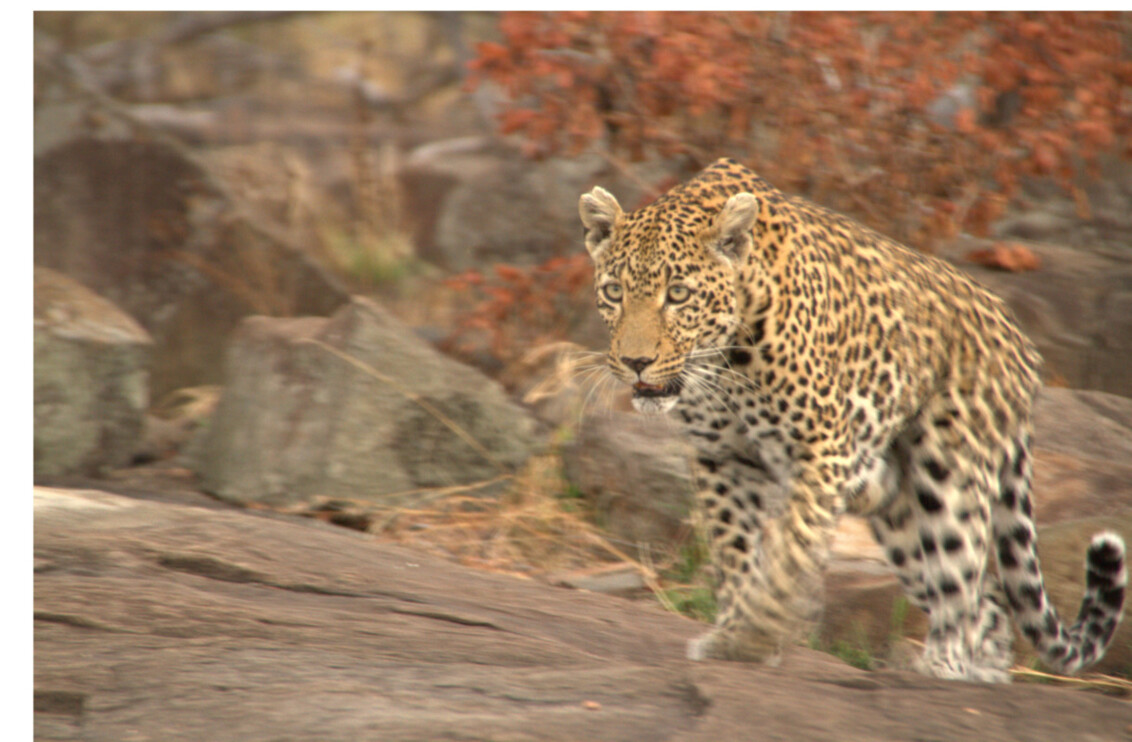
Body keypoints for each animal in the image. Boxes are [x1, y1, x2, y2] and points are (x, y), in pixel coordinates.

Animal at [578, 157, 1126, 683]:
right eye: (613, 292)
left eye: (678, 295)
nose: (635, 362)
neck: (725, 359)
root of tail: (1021, 342)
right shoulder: (723, 458)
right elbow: (734, 550)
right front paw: (734, 632)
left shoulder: (821, 450)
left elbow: (791, 544)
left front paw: (759, 630)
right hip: (897, 509)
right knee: (988, 600)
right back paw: (978, 675)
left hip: (948, 480)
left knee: (963, 582)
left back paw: (942, 667)